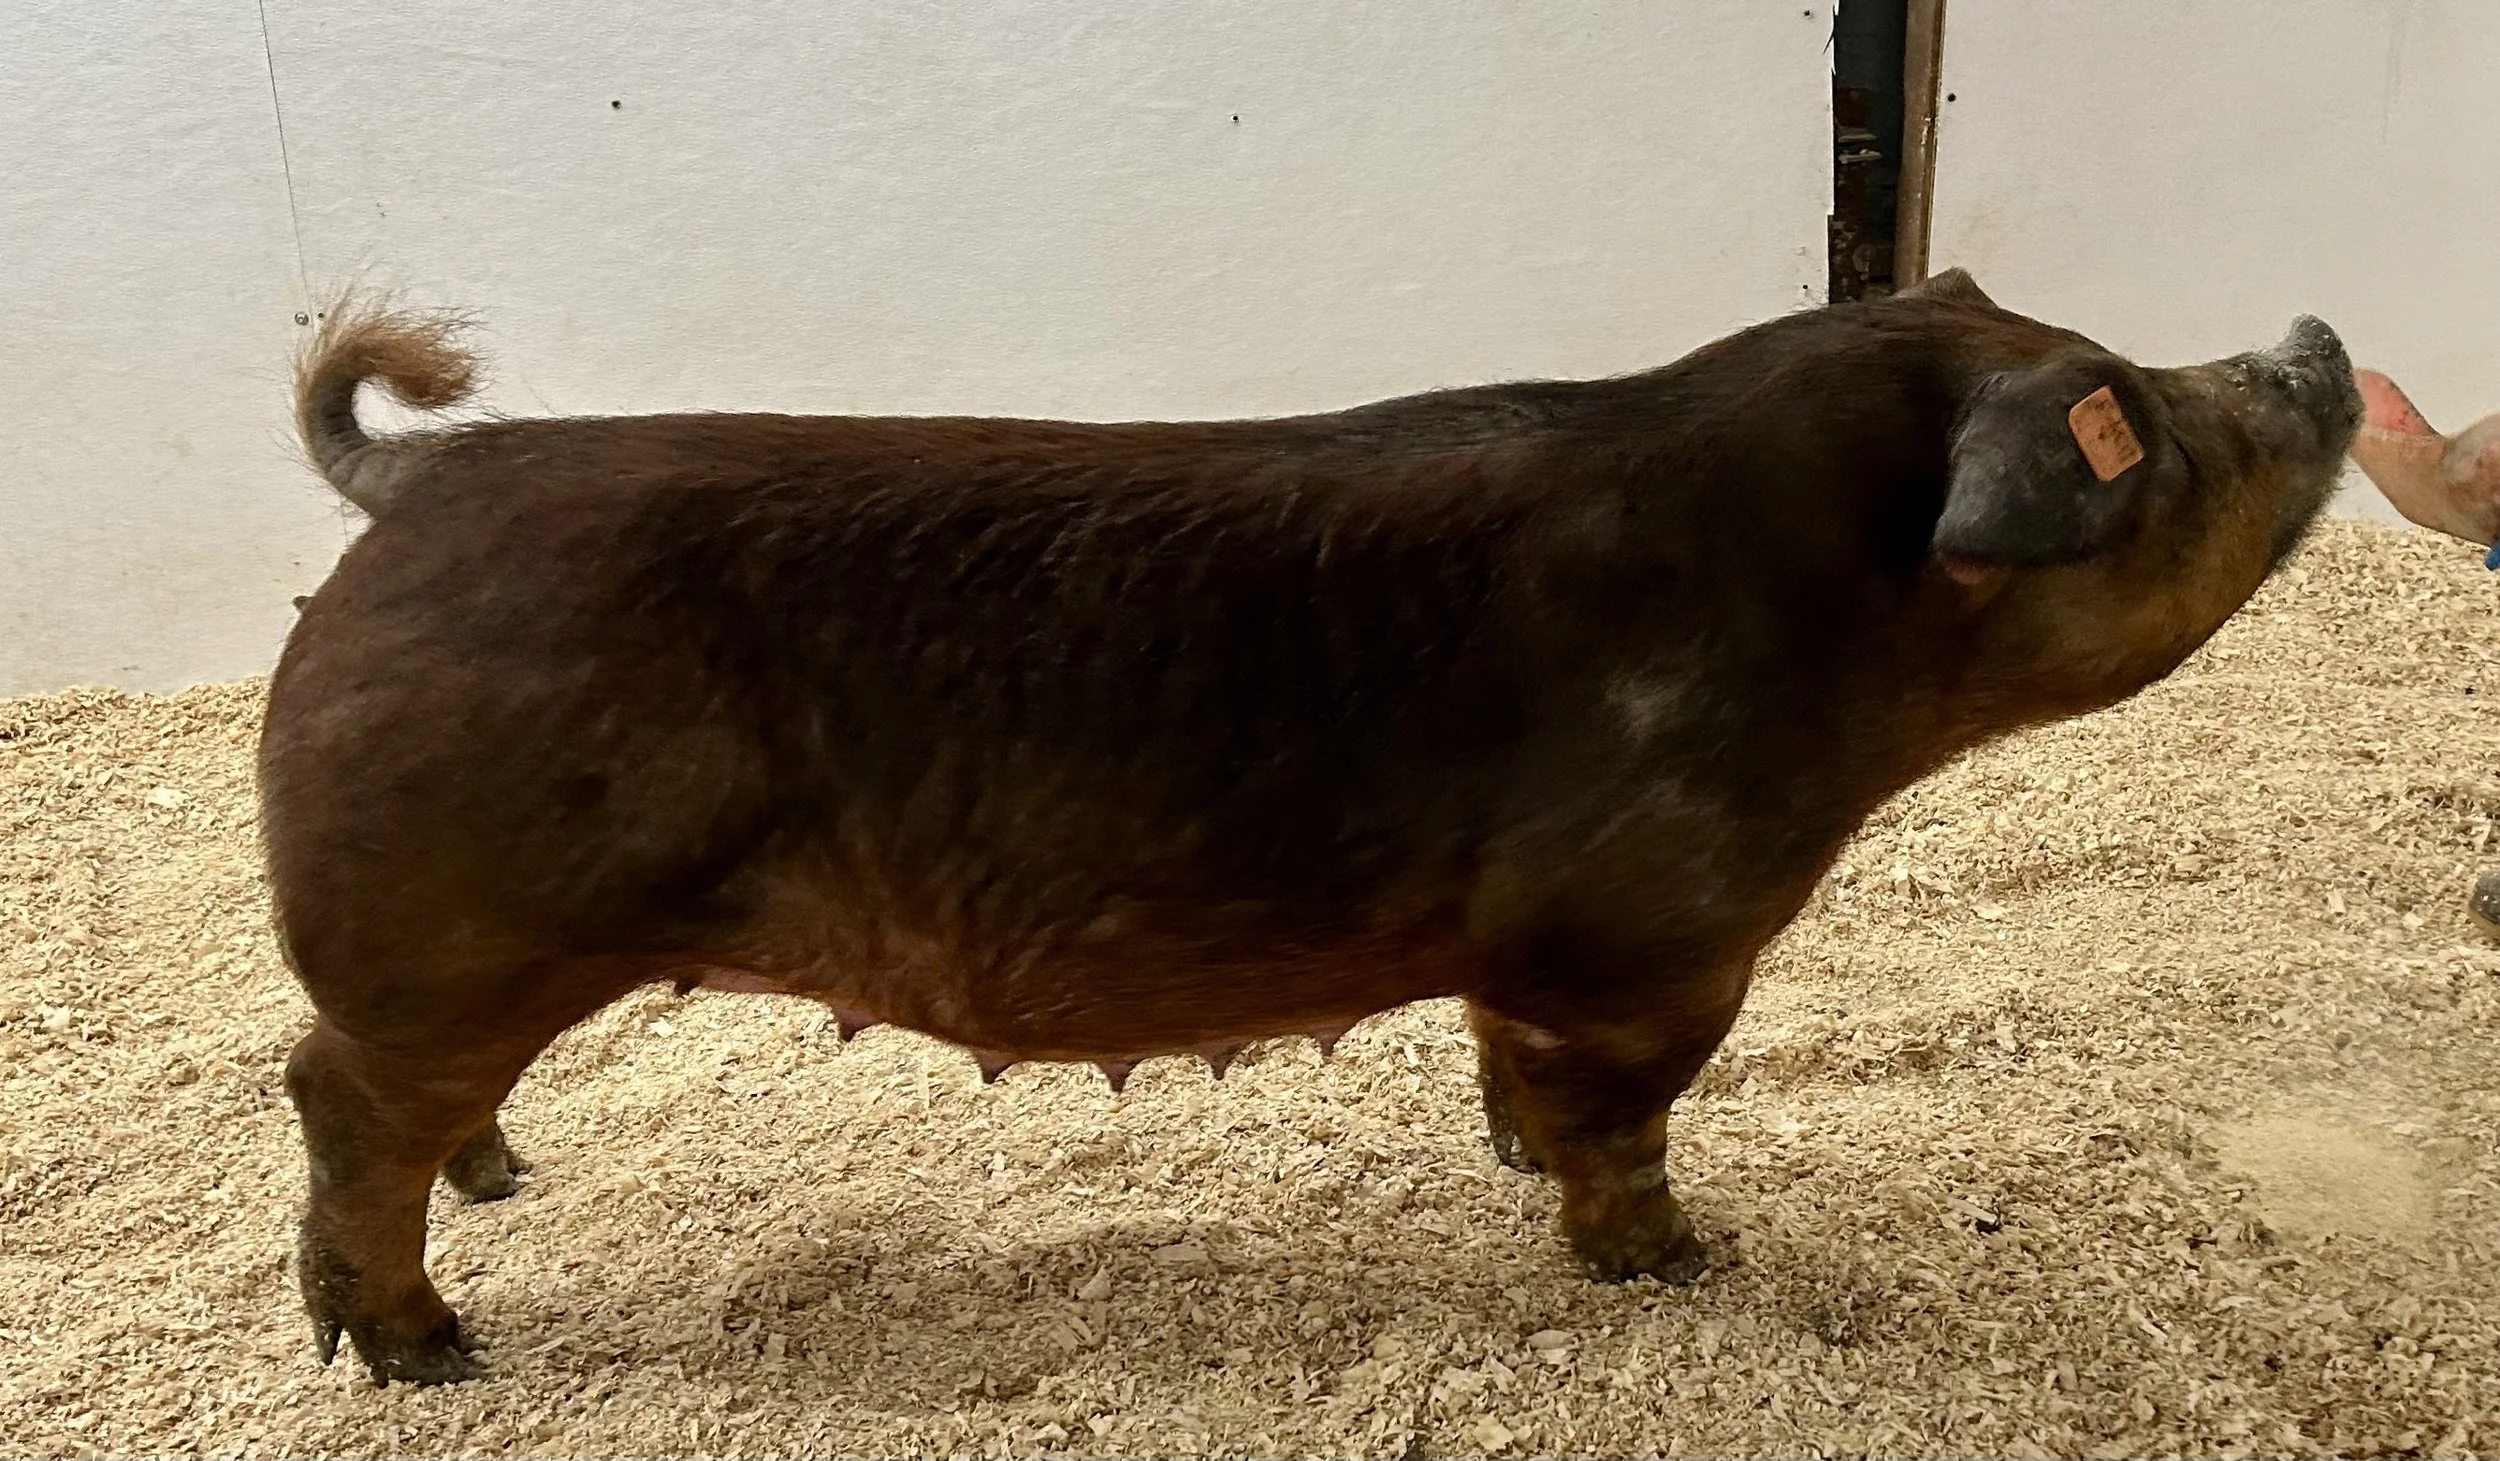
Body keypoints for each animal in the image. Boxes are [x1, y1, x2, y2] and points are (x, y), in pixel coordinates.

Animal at [262, 270, 2359, 1384]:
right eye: (2142, 430)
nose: (2318, 340)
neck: (1809, 622)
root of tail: (409, 489)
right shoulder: (1653, 947)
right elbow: (1624, 1121)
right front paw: (1681, 1263)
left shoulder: (1530, 965)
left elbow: (1508, 1071)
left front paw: (1507, 1159)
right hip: (449, 929)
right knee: (336, 1097)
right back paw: (430, 1346)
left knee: (416, 1108)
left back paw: (506, 1183)